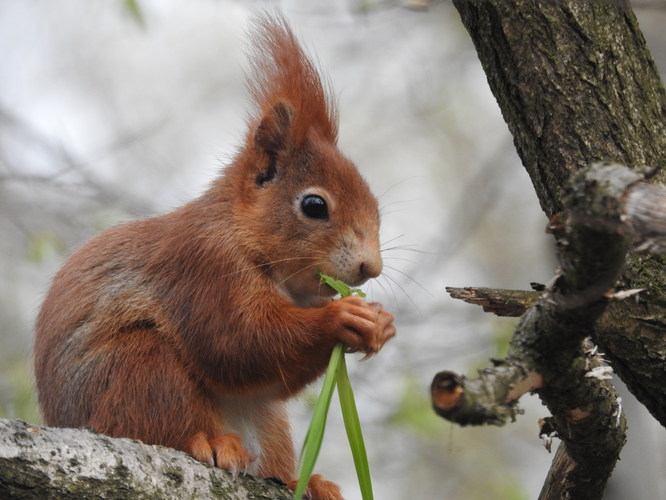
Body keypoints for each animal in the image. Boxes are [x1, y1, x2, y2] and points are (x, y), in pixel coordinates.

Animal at [33, 11, 394, 500]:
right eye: (315, 206)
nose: (369, 267)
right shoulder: (202, 267)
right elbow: (237, 341)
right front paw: (343, 319)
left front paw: (381, 322)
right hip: (135, 370)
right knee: (159, 422)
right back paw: (211, 442)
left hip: (267, 424)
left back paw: (304, 481)